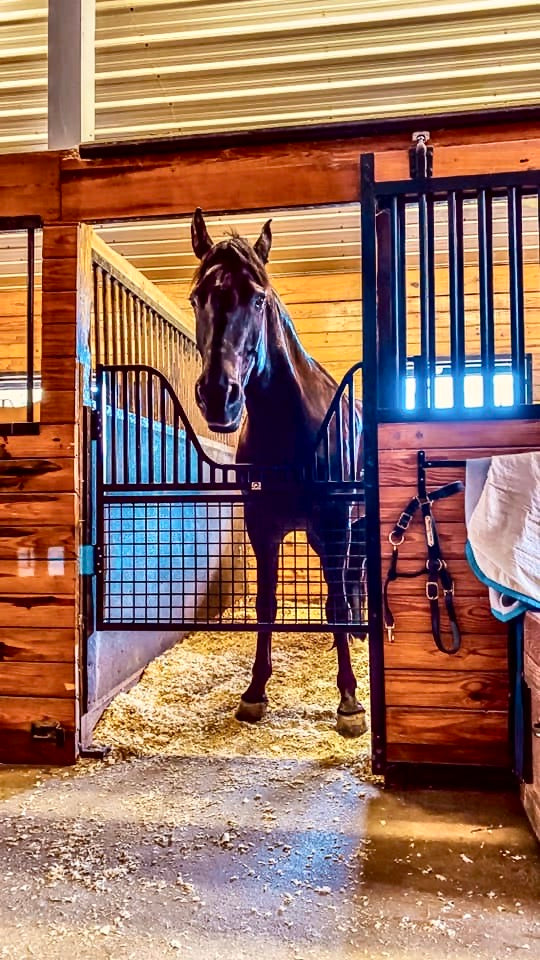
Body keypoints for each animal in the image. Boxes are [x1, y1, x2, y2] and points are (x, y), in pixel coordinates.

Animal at [189, 208, 368, 736]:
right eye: (197, 297)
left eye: (258, 297)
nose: (218, 396)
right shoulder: (263, 526)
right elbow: (266, 607)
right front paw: (254, 692)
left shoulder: (333, 523)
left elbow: (334, 603)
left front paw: (349, 701)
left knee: (352, 580)